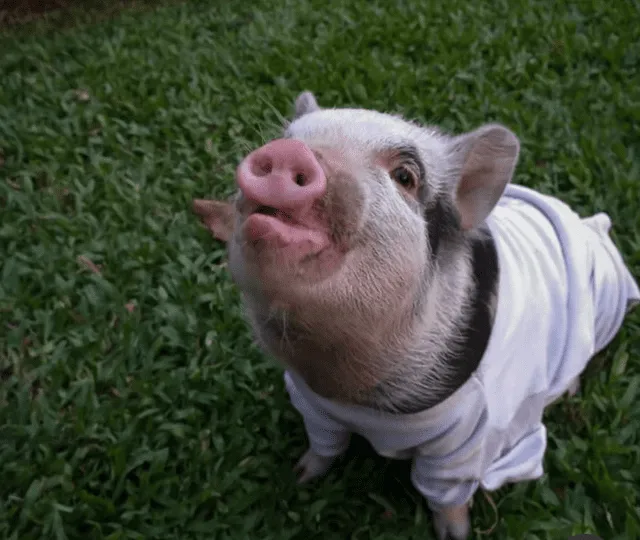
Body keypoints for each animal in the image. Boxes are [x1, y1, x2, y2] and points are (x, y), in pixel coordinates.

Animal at [194, 90, 640, 536]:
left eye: (406, 177)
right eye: (289, 137)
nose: (288, 152)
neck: (348, 387)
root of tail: (593, 227)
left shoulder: (465, 440)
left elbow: (445, 494)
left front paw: (455, 535)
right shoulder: (312, 403)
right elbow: (324, 446)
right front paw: (299, 477)